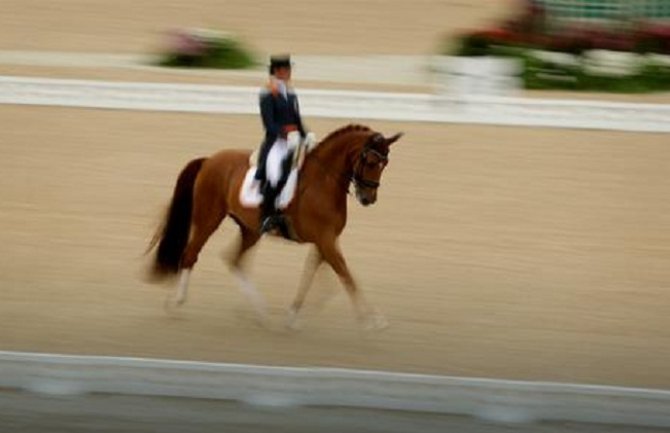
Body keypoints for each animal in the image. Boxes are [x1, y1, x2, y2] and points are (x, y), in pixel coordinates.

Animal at [147, 123, 404, 330]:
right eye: (370, 161)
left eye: (385, 163)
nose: (368, 198)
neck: (324, 181)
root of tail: (209, 160)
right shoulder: (326, 240)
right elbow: (345, 275)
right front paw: (372, 320)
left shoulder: (325, 240)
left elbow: (314, 277)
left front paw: (294, 316)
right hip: (208, 218)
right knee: (191, 254)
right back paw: (175, 303)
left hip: (250, 229)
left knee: (234, 260)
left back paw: (260, 313)